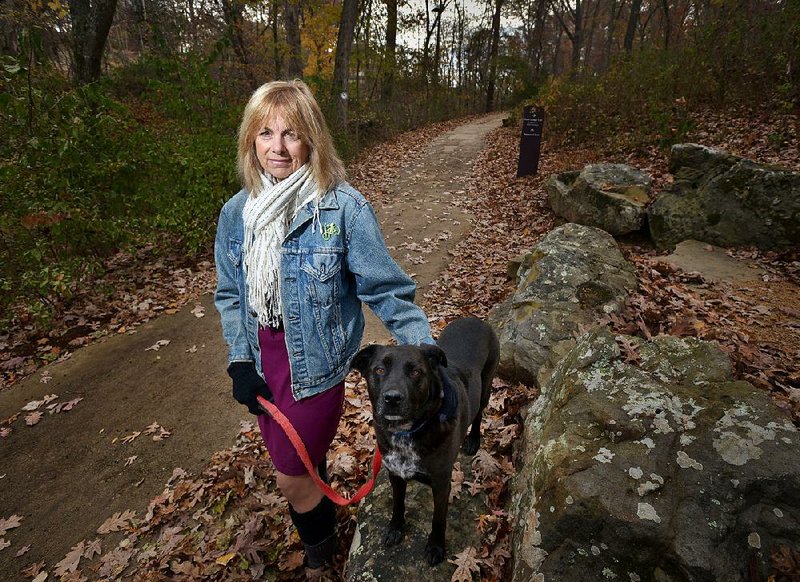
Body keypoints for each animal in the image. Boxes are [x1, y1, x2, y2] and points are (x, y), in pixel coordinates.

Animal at [352, 318, 500, 568]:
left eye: (415, 372)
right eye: (379, 370)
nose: (392, 398)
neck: (406, 433)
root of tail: (474, 319)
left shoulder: (441, 483)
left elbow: (438, 518)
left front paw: (436, 546)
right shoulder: (396, 474)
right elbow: (398, 503)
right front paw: (395, 527)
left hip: (486, 386)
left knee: (479, 413)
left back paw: (473, 440)